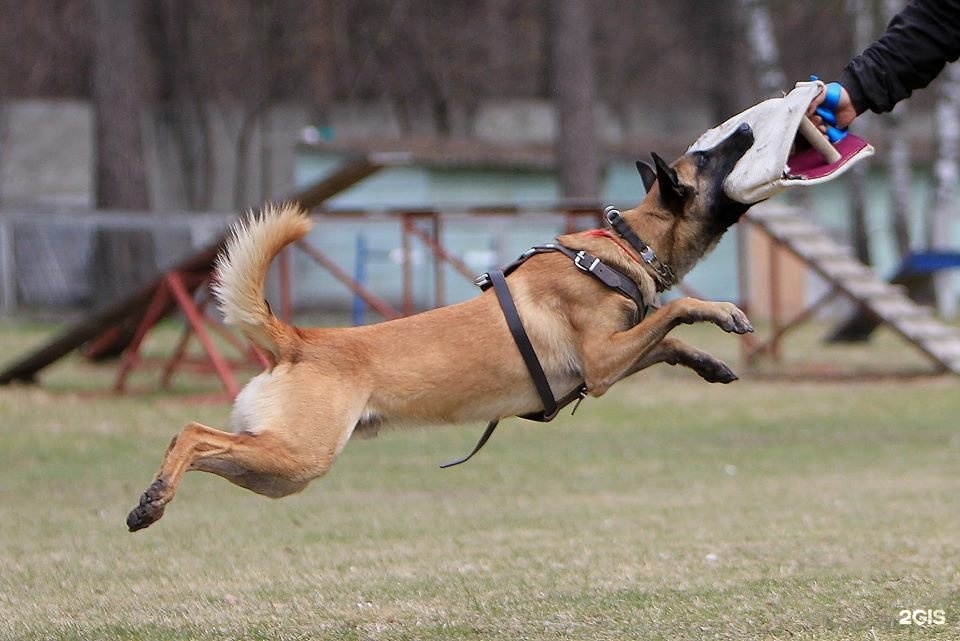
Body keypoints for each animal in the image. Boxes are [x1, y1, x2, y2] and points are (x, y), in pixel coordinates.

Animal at [125, 120, 756, 528]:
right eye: (705, 157)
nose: (749, 130)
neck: (625, 248)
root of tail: (301, 340)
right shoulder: (601, 362)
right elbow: (675, 312)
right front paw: (721, 311)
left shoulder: (611, 360)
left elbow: (669, 342)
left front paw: (711, 364)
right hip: (297, 455)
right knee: (192, 431)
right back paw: (154, 497)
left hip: (280, 470)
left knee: (200, 443)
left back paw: (152, 499)